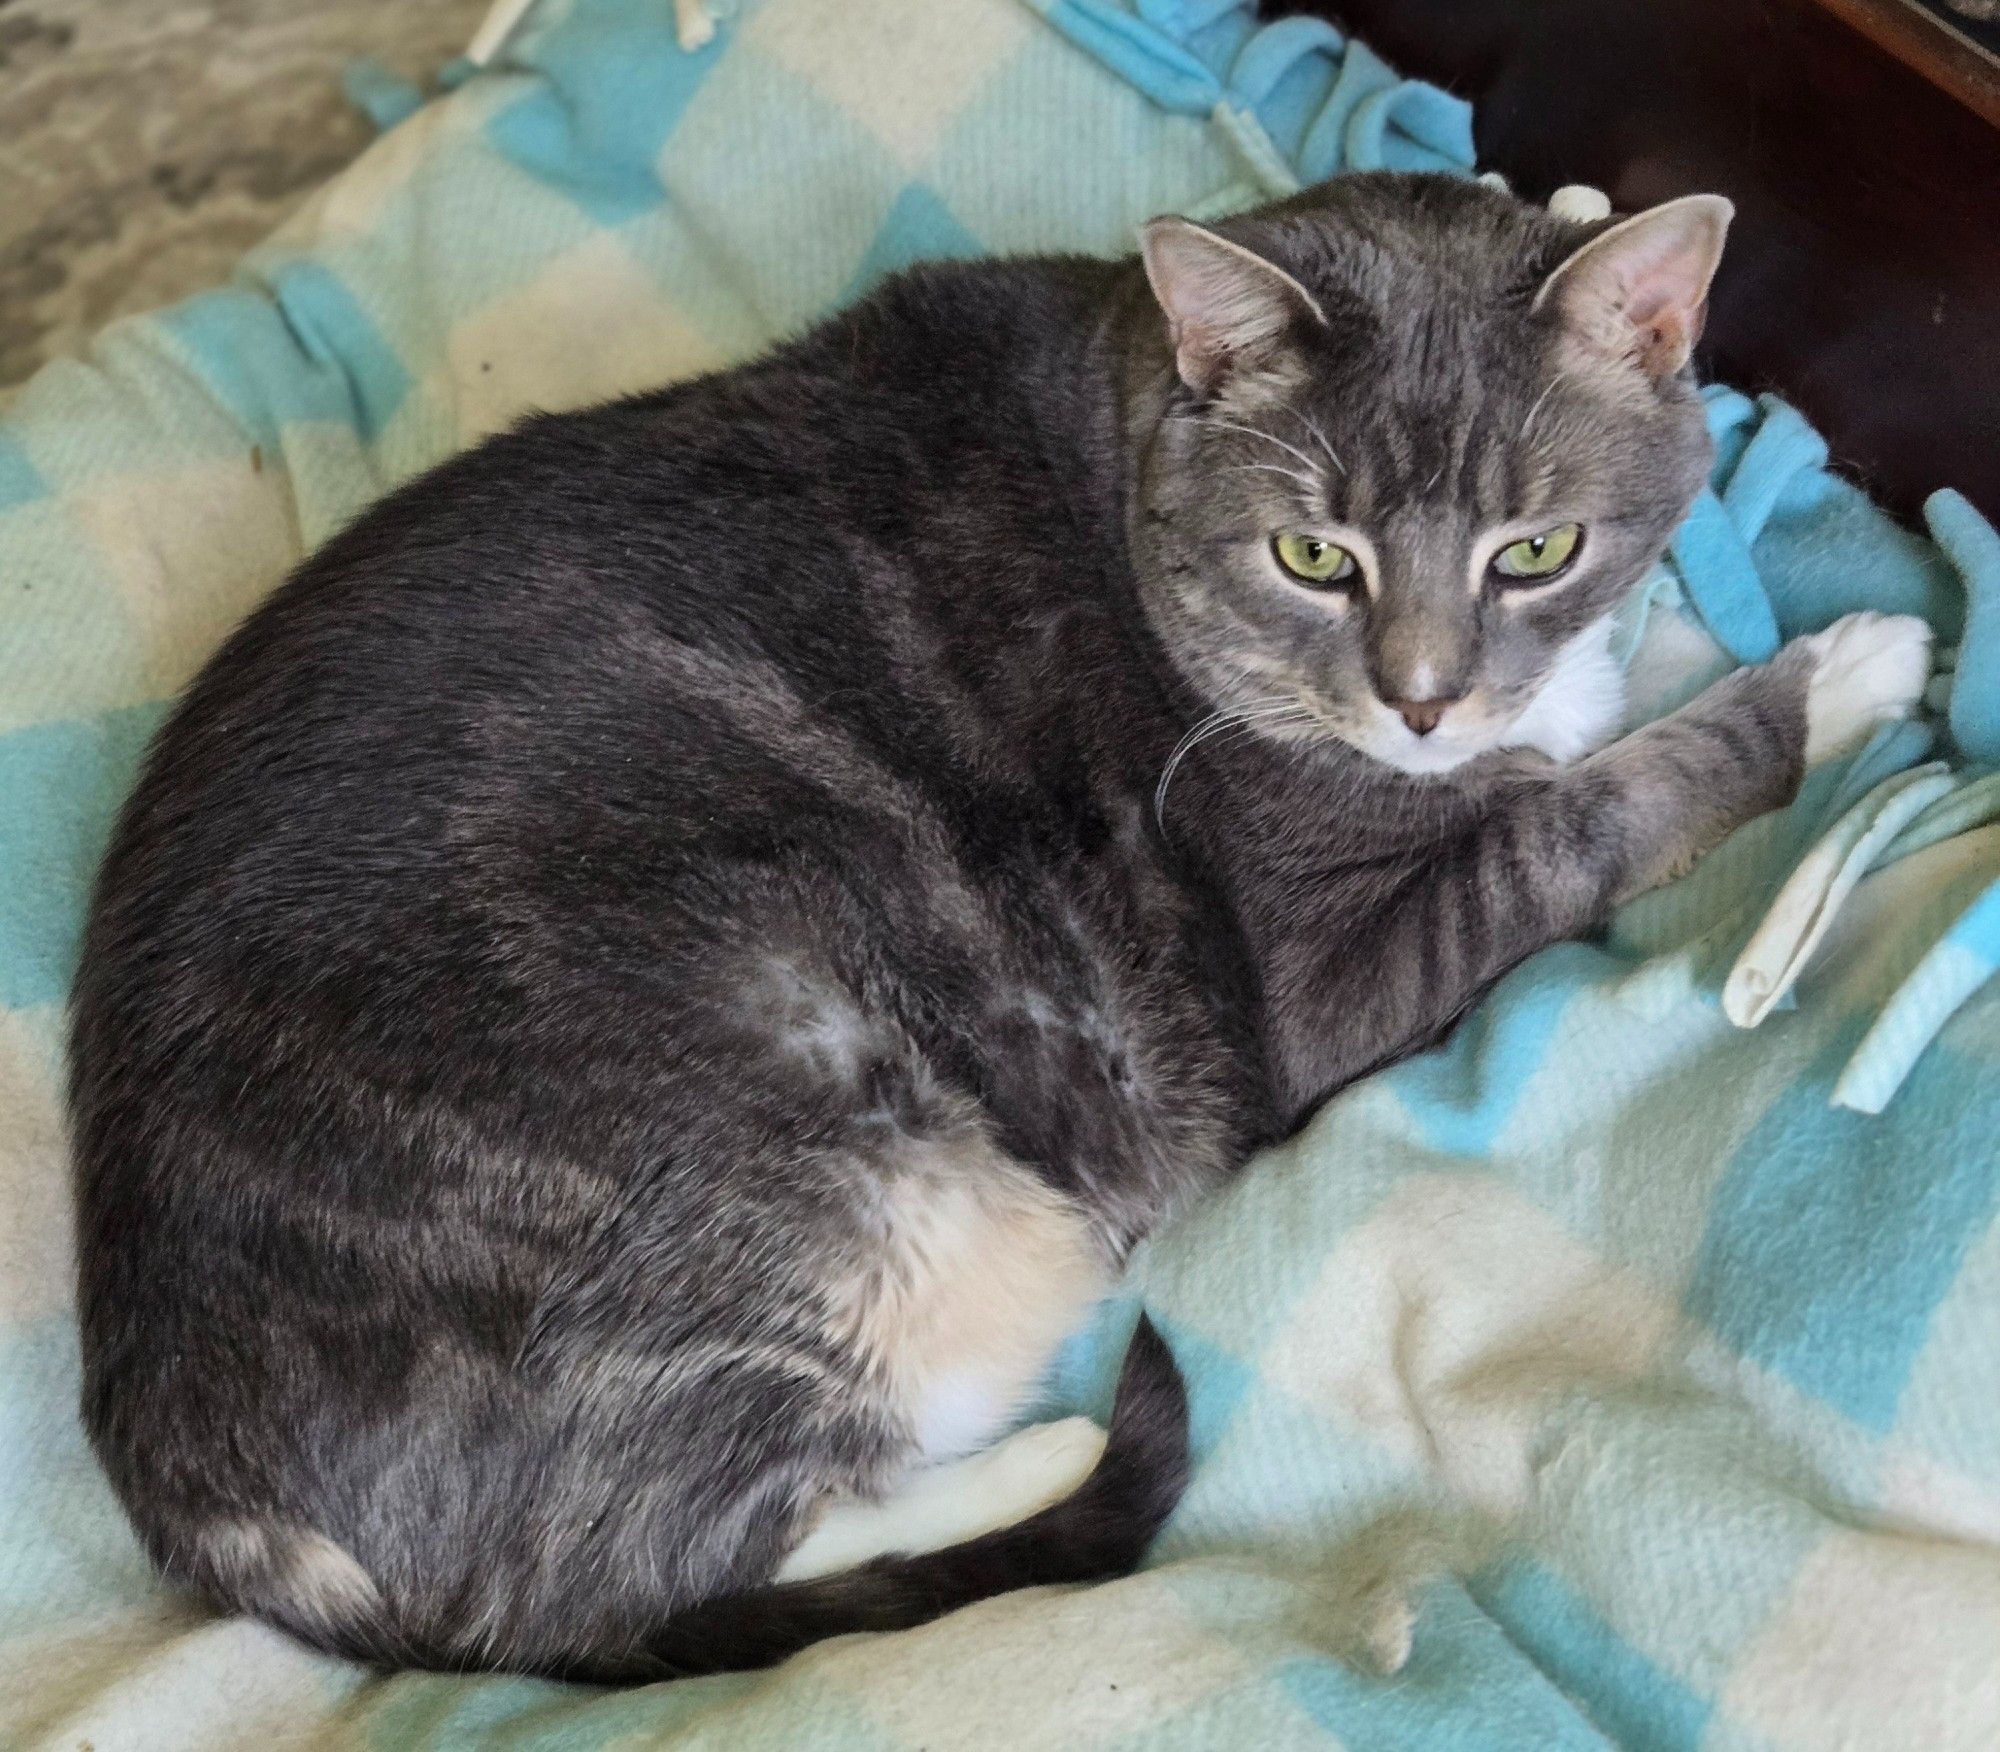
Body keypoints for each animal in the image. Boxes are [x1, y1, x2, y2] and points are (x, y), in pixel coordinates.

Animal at [70, 178, 1928, 1680]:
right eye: (1311, 553)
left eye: (1534, 546)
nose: (1421, 701)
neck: (1130, 432)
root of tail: (192, 1488)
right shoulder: (1333, 969)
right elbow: (1587, 810)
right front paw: (1840, 675)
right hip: (823, 1168)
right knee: (641, 1566)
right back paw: (1044, 1446)